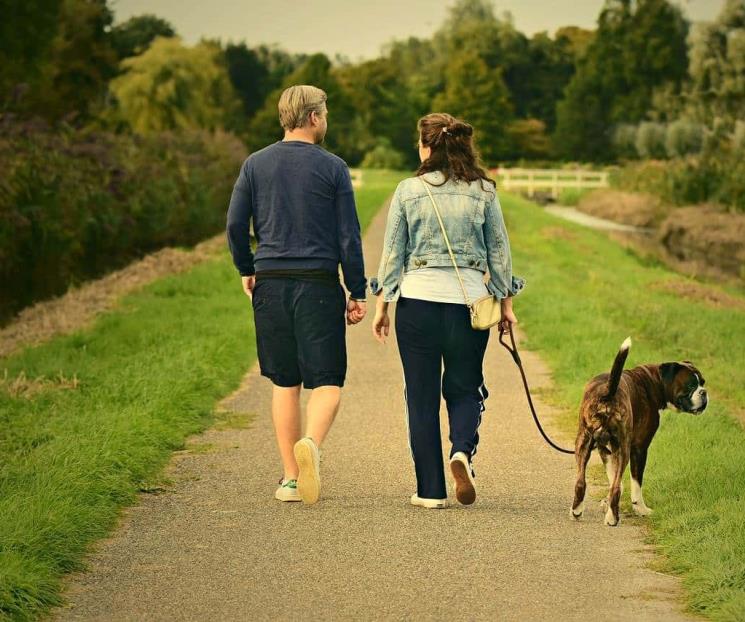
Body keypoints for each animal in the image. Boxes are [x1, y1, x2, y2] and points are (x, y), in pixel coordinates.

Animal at [572, 338, 708, 528]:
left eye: (703, 382)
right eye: (691, 385)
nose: (704, 392)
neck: (654, 381)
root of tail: (608, 392)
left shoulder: (605, 449)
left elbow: (615, 480)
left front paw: (607, 503)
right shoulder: (639, 448)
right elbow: (635, 483)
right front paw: (641, 509)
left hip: (583, 443)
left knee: (581, 482)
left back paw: (577, 511)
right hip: (624, 448)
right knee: (615, 487)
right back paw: (613, 519)